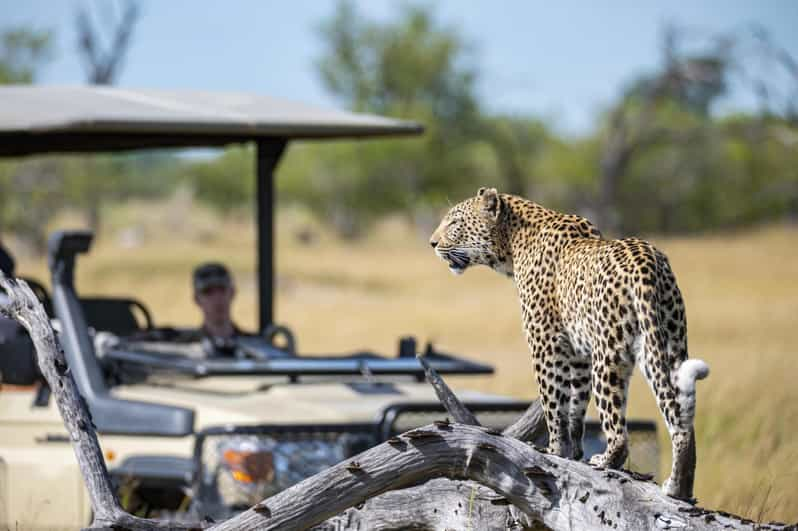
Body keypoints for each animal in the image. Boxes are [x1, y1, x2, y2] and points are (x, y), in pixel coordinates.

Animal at [432, 188, 712, 502]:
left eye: (454, 222)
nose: (433, 243)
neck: (513, 241)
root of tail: (646, 261)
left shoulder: (543, 342)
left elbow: (553, 402)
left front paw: (555, 450)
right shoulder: (579, 354)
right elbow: (576, 406)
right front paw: (573, 452)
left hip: (609, 356)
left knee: (618, 430)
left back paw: (607, 460)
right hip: (669, 344)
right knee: (680, 420)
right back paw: (678, 487)